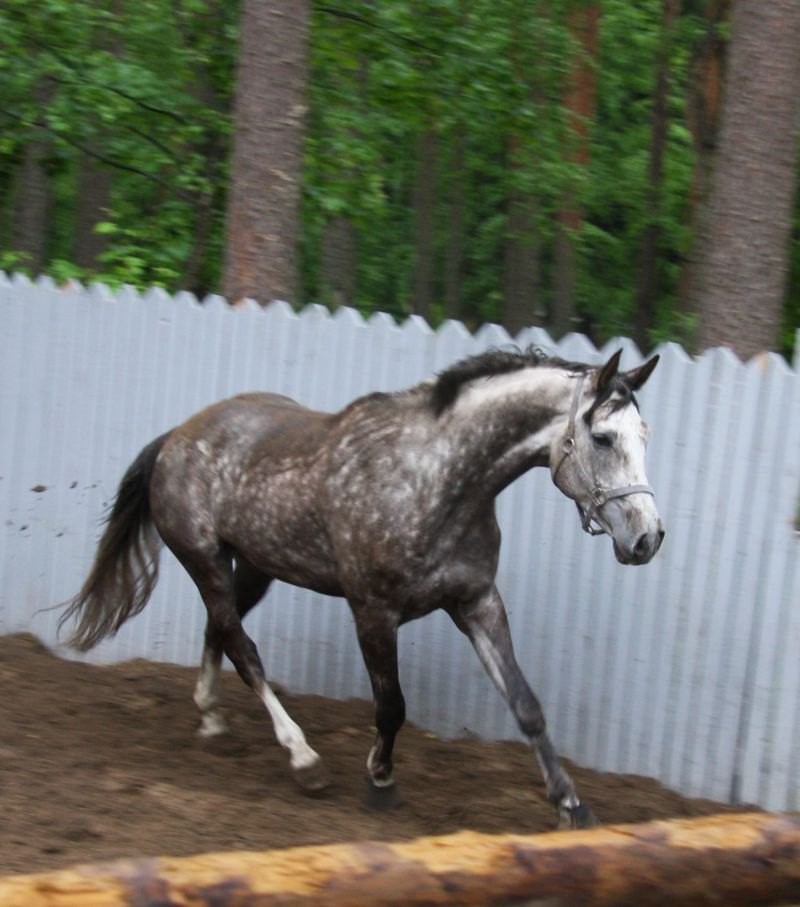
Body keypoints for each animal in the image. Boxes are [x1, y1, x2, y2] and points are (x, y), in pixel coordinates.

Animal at [61, 344, 664, 828]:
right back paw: (303, 759)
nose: (647, 539)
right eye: (603, 438)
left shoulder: (476, 603)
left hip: (254, 566)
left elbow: (526, 704)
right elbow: (391, 705)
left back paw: (212, 721)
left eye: (645, 437)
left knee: (220, 632)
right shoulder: (374, 611)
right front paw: (380, 781)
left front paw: (571, 804)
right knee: (241, 646)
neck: (437, 481)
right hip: (205, 561)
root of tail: (178, 437)